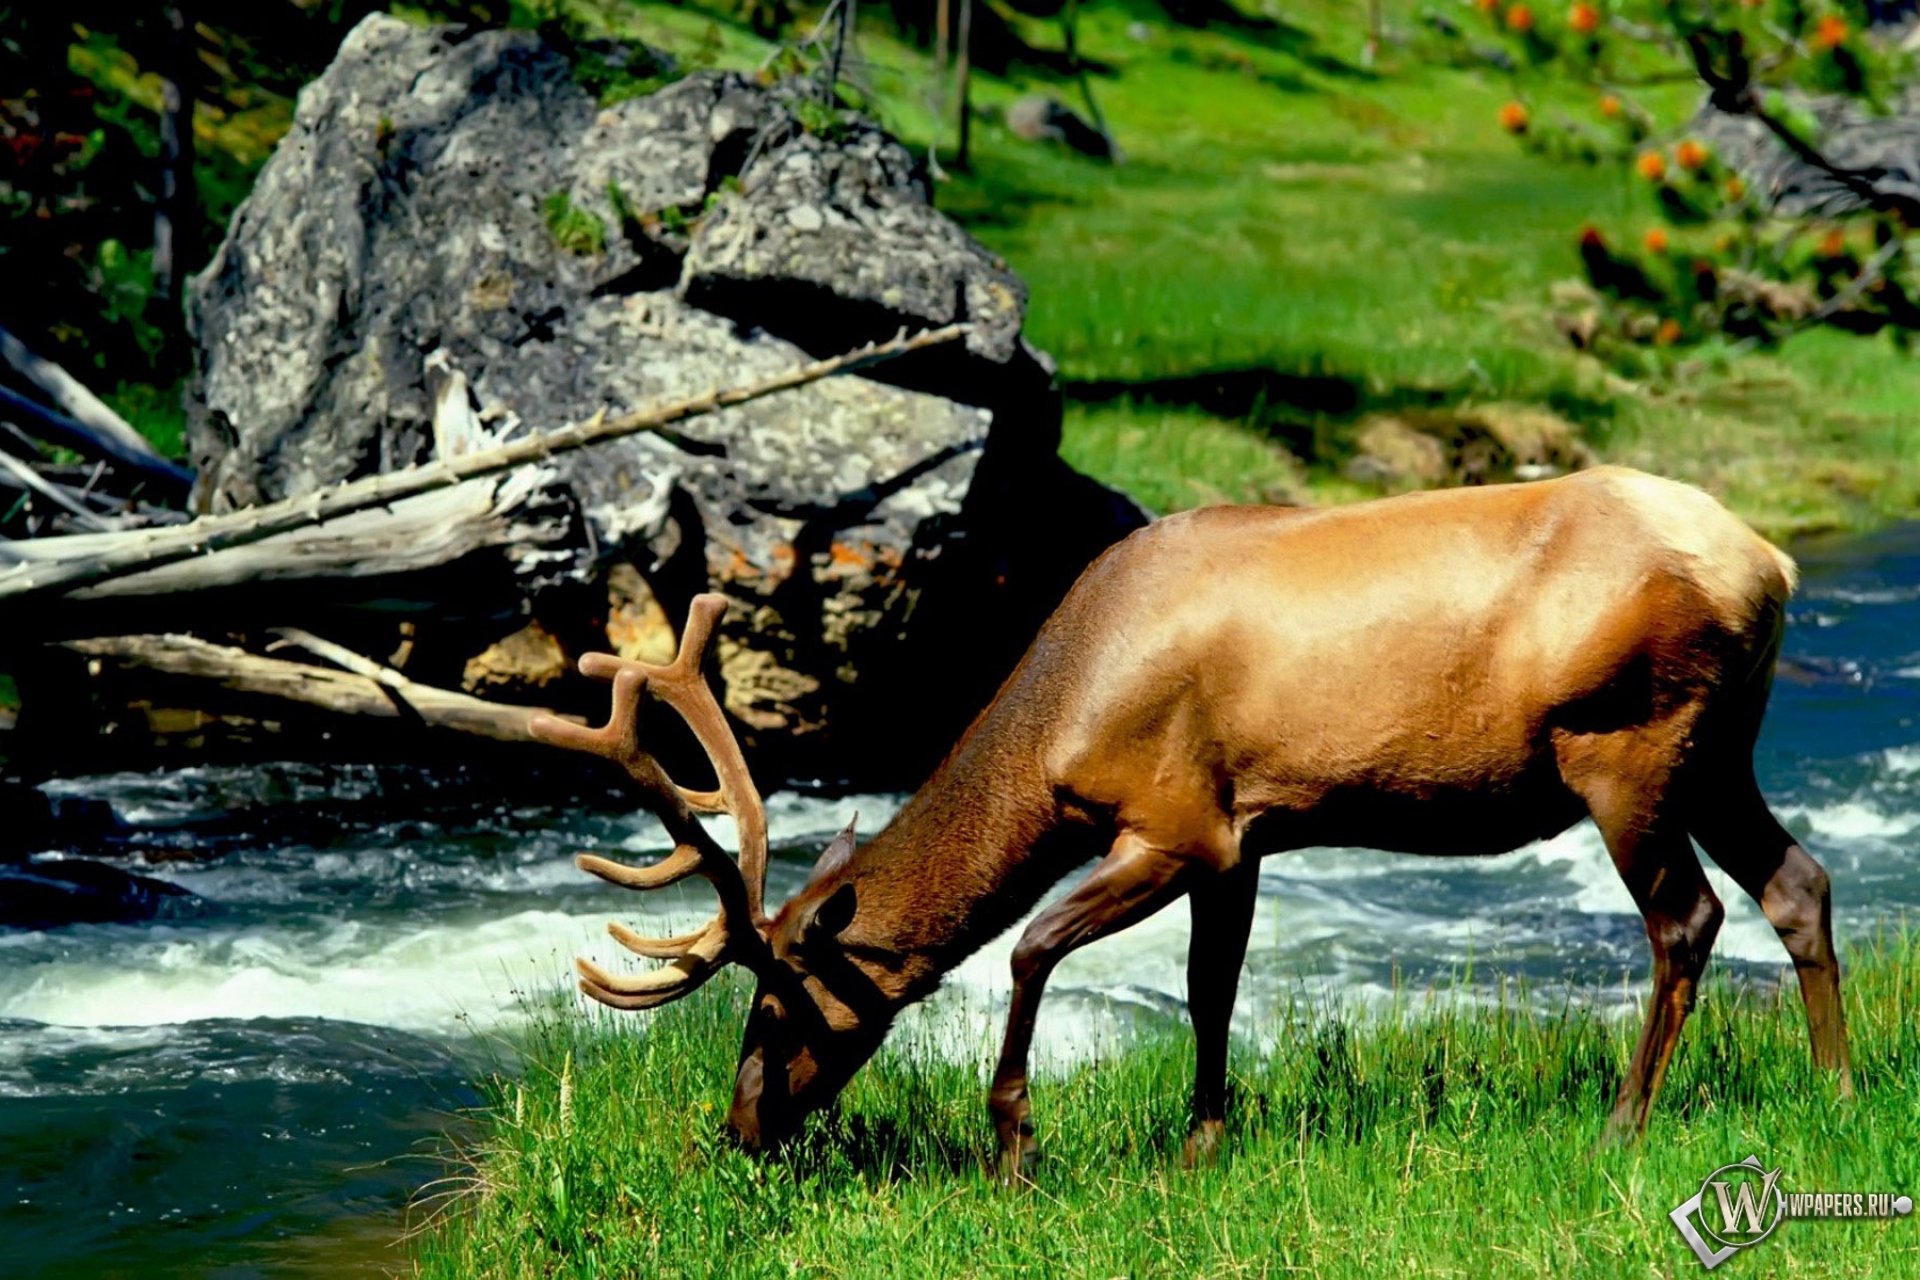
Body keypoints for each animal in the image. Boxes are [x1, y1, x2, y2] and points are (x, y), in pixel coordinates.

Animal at [526, 466, 1843, 1174]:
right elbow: (1214, 988)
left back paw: (1624, 1120)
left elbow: (1029, 947)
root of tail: (1769, 563)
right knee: (1799, 882)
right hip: (1719, 750)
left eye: (777, 1004)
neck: (1060, 720)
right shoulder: (1246, 831)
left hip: (1631, 746)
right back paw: (1837, 1080)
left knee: (1688, 916)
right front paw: (1204, 1139)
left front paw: (1017, 1146)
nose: (739, 1125)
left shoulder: (1172, 821)